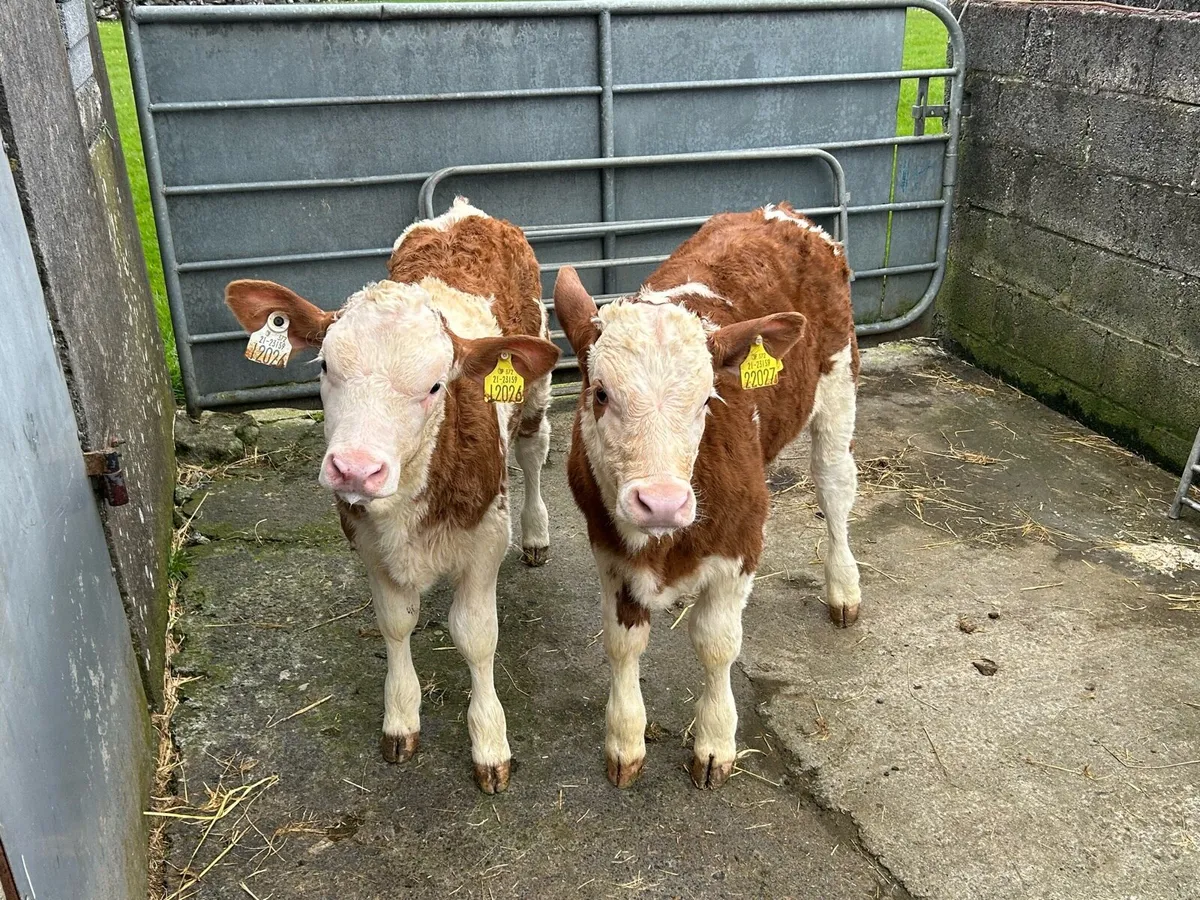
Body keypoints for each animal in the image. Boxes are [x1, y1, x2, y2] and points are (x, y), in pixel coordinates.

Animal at [224, 198, 560, 793]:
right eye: (325, 366)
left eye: (435, 385)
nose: (355, 468)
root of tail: (463, 212)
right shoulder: (365, 540)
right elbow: (396, 623)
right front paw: (401, 717)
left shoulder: (485, 539)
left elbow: (476, 637)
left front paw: (489, 741)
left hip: (535, 389)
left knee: (533, 453)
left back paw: (538, 533)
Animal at [552, 203, 861, 790]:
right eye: (600, 393)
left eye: (706, 400)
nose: (662, 503)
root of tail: (780, 213)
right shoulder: (607, 545)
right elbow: (622, 643)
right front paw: (625, 739)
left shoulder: (741, 542)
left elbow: (716, 643)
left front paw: (716, 741)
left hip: (838, 386)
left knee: (835, 487)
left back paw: (844, 588)